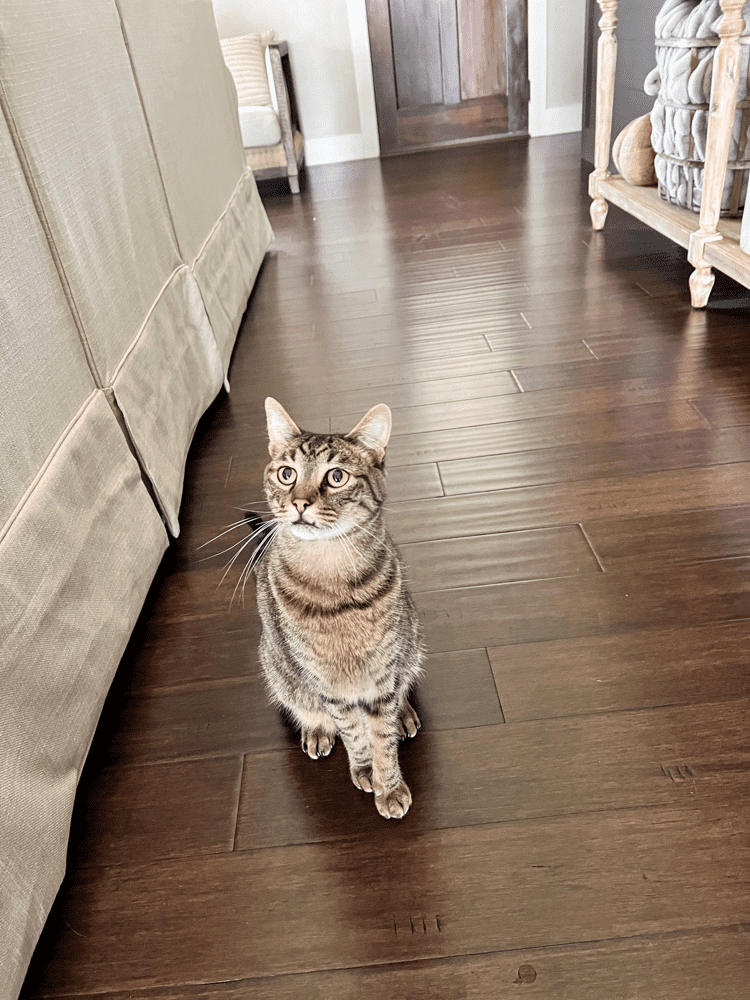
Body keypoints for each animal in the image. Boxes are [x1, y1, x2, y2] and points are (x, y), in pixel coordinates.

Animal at [256, 394, 426, 816]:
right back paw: (316, 729)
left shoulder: (383, 673)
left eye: (336, 477)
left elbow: (382, 733)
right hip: (278, 666)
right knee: (304, 705)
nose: (299, 502)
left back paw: (405, 715)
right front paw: (365, 769)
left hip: (411, 641)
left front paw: (388, 784)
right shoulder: (326, 683)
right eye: (287, 474)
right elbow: (353, 731)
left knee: (403, 688)